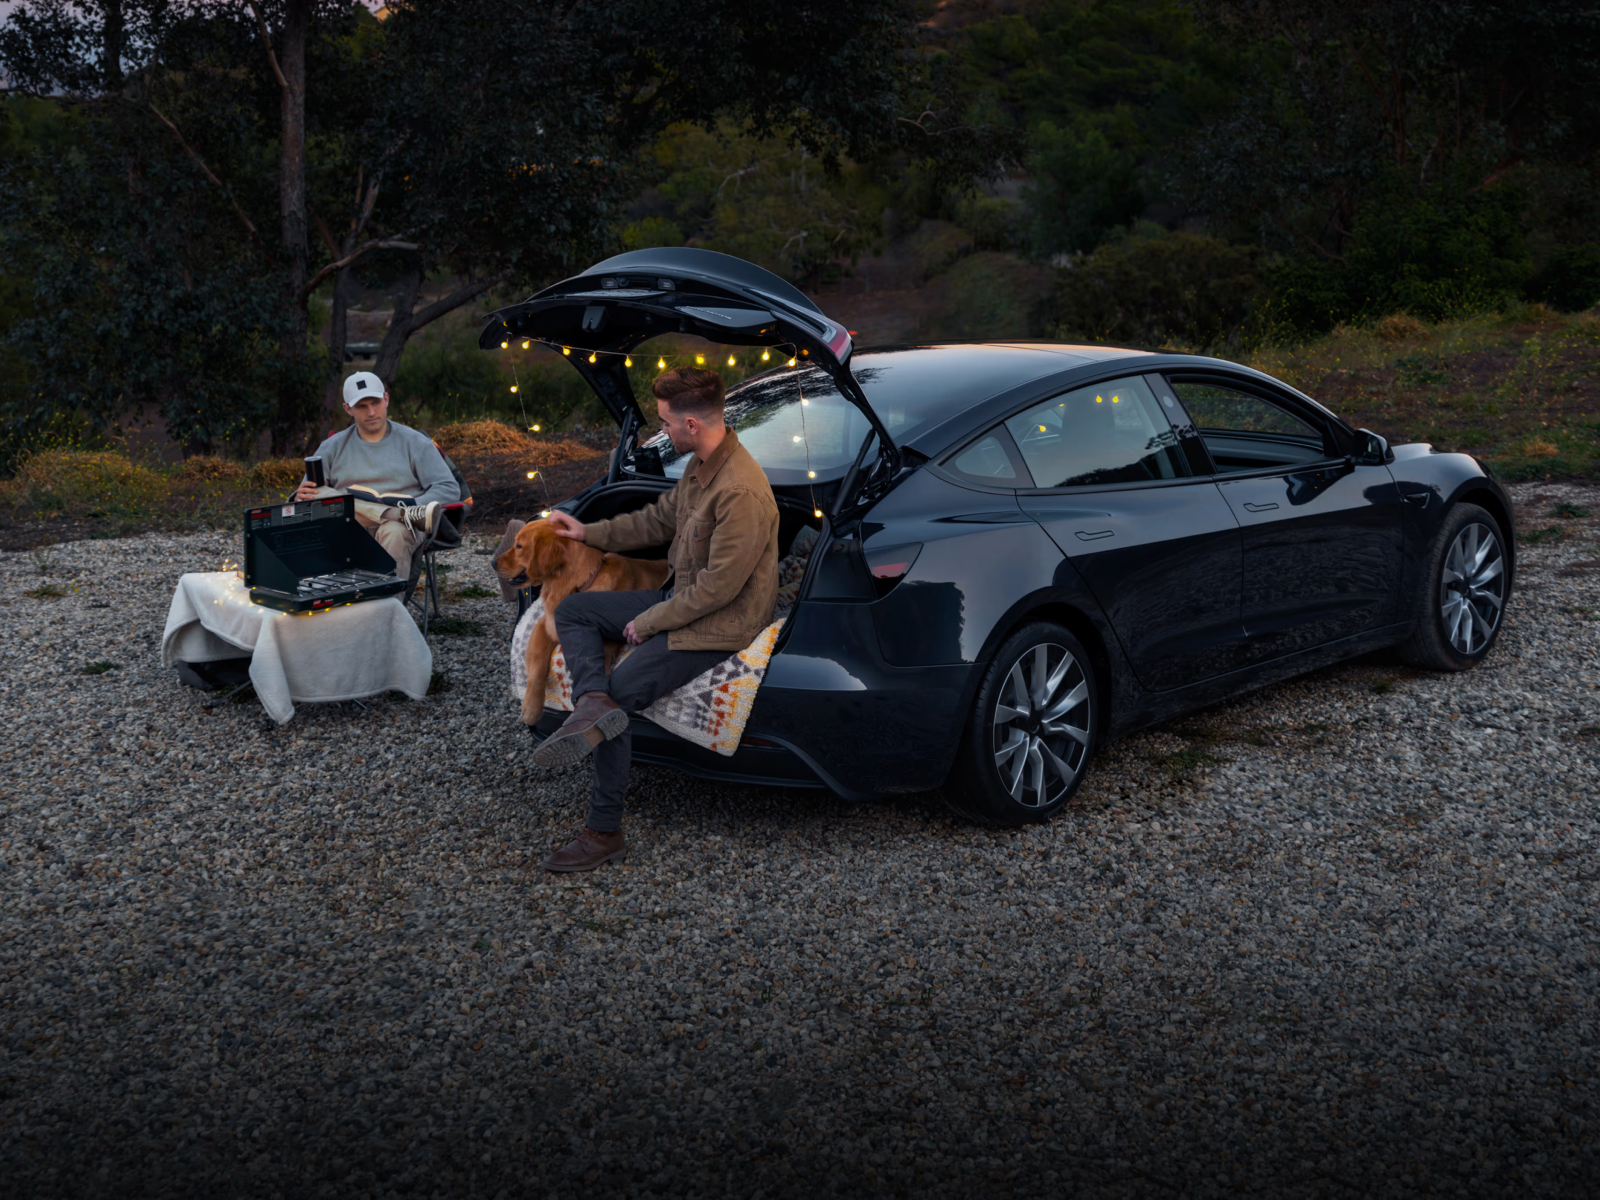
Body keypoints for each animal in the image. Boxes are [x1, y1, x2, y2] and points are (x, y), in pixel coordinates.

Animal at [492, 521, 668, 729]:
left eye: (519, 546)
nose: (492, 563)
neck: (572, 586)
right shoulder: (545, 626)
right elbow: (537, 668)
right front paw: (531, 708)